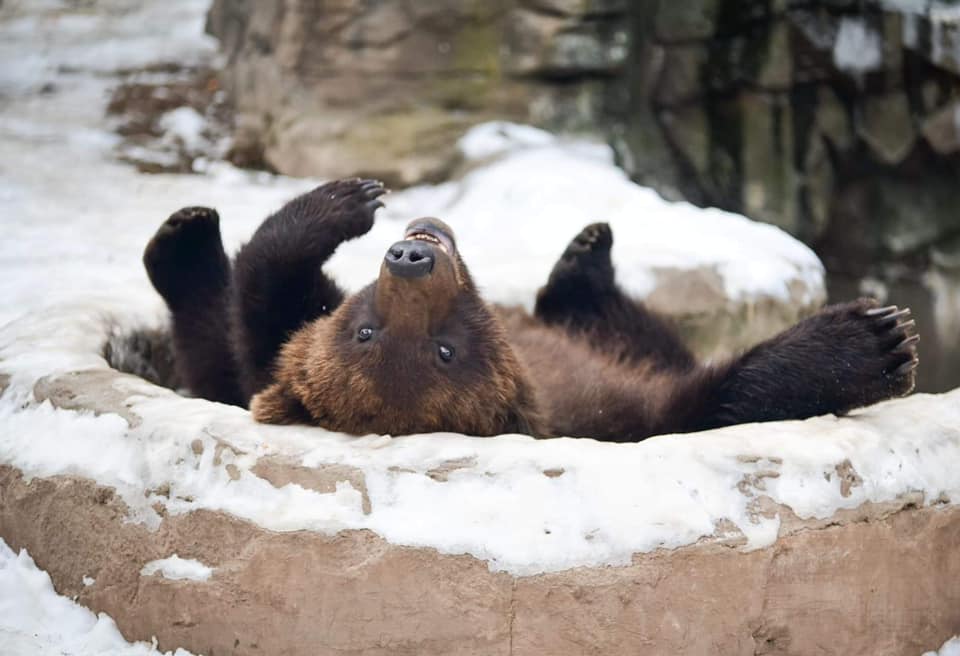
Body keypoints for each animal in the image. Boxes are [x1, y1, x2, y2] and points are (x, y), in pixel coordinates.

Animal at [143, 178, 919, 441]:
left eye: (364, 328)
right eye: (445, 351)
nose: (411, 258)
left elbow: (271, 302)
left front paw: (340, 202)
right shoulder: (610, 415)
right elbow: (711, 400)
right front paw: (873, 341)